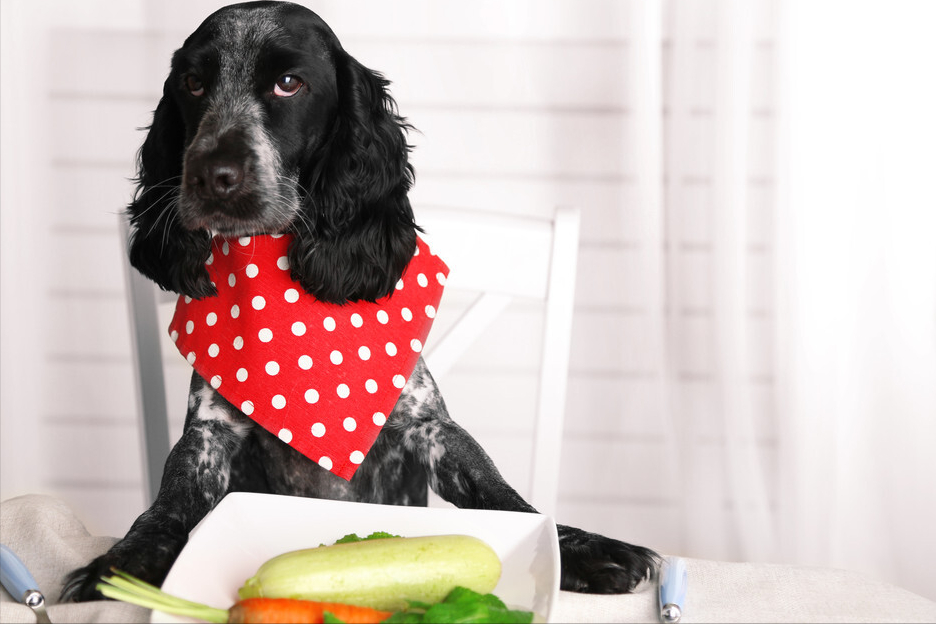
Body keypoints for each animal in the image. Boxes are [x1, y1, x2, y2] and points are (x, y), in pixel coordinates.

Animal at [62, 1, 660, 604]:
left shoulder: (428, 425)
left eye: (288, 83)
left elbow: (506, 499)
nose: (210, 175)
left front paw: (584, 546)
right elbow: (164, 508)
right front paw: (120, 564)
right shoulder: (207, 434)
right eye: (193, 83)